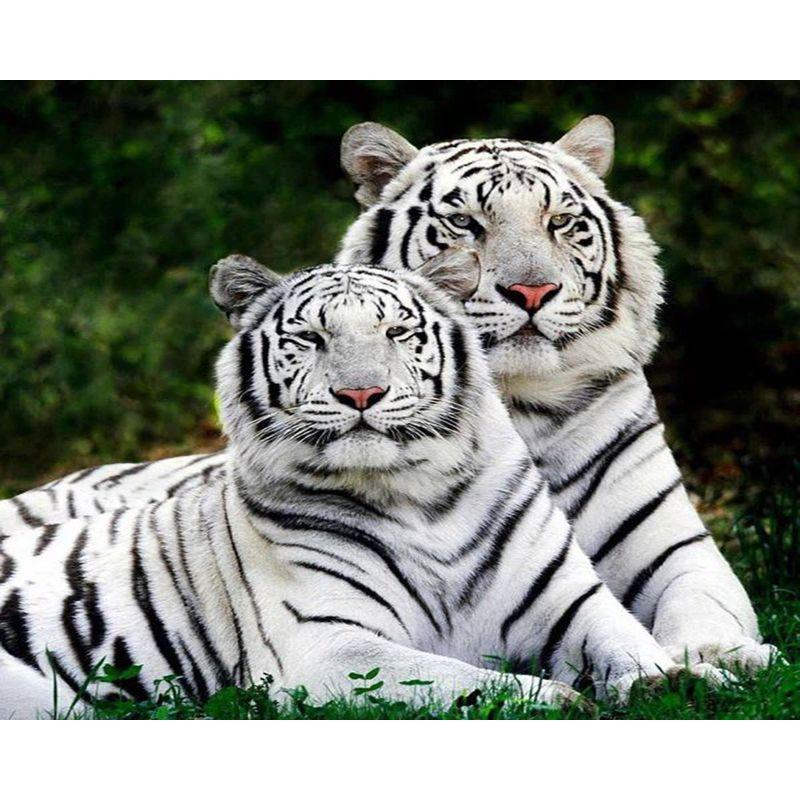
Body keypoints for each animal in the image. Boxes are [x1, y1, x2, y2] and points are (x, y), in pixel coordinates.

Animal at [0, 259, 717, 718]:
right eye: (310, 338)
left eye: (397, 332)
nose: (361, 394)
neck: (423, 498)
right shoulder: (325, 646)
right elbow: (457, 678)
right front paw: (558, 700)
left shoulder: (569, 600)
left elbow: (627, 640)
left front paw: (681, 680)